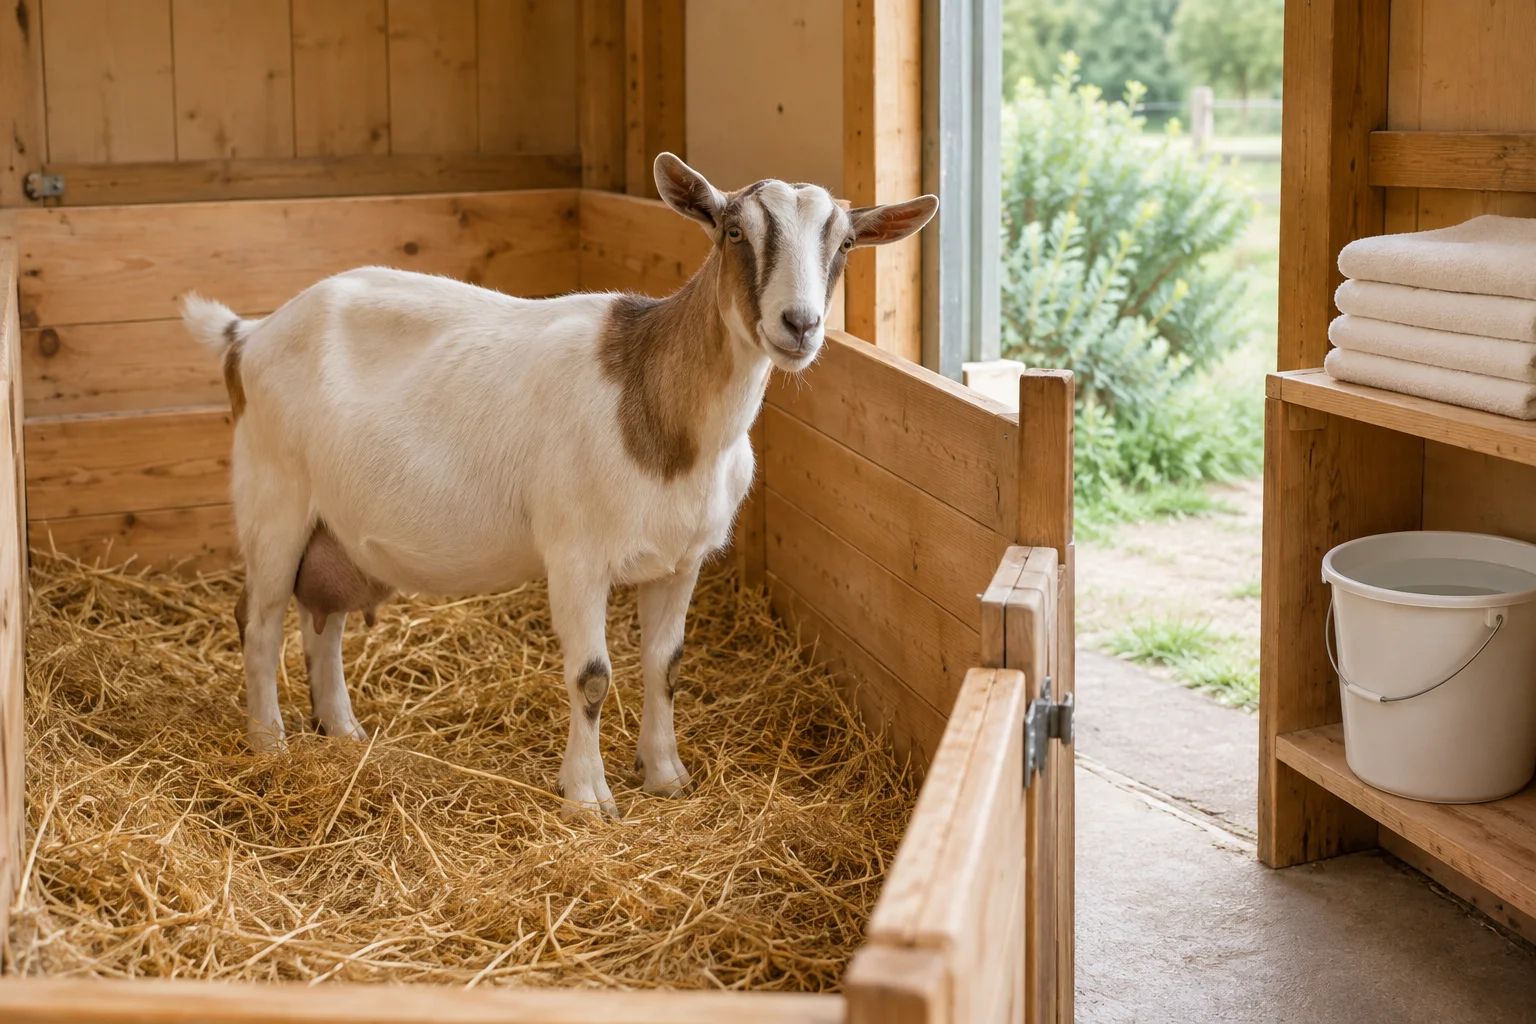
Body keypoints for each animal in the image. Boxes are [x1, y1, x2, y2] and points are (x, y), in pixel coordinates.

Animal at [182, 154, 937, 817]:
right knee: (258, 618)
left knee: (324, 619)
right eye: (732, 231)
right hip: (274, 499)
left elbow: (666, 664)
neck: (656, 408)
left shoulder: (681, 560)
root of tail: (248, 336)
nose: (800, 325)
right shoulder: (577, 557)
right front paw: (588, 795)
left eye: (845, 244)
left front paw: (666, 775)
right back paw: (269, 744)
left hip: (335, 525)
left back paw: (341, 729)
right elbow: (592, 675)